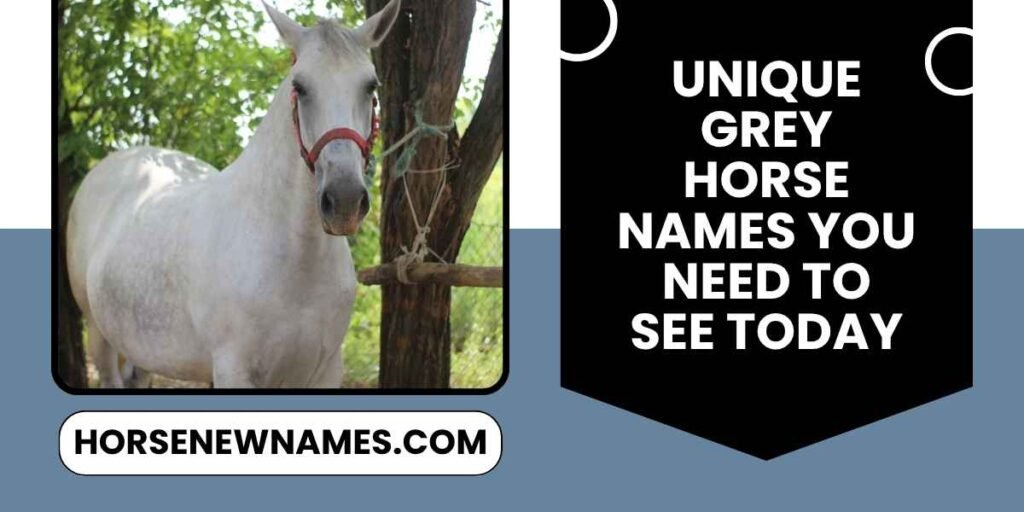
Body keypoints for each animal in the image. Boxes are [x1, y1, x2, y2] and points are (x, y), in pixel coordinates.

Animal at [65, 0, 402, 388]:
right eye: (300, 87)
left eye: (370, 86)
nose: (344, 201)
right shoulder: (233, 370)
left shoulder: (325, 371)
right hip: (99, 334)